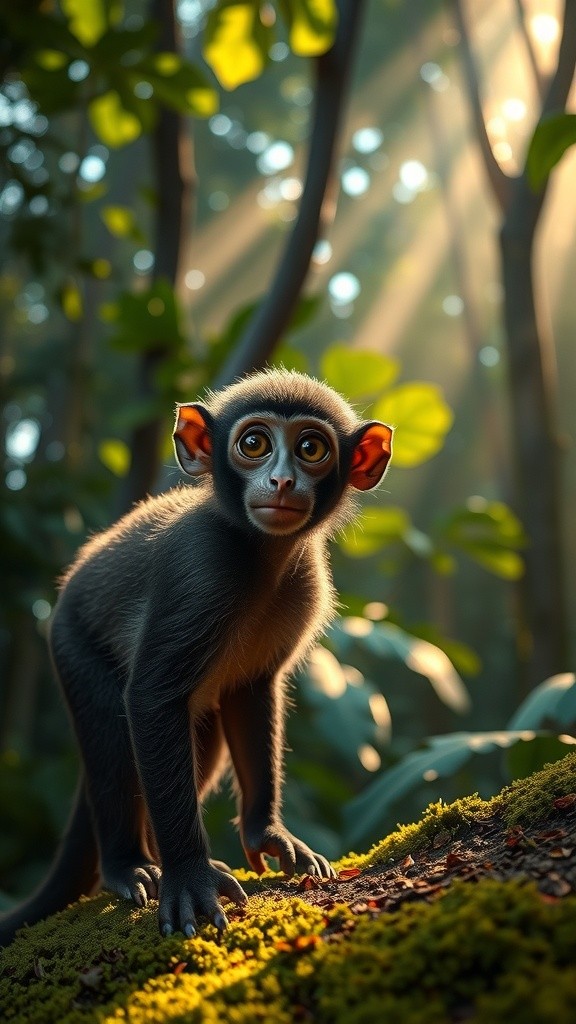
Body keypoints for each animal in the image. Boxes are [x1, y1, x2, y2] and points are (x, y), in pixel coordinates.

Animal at [0, 369, 392, 944]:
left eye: (311, 448)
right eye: (254, 444)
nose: (281, 482)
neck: (259, 557)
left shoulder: (306, 584)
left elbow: (251, 692)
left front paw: (266, 833)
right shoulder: (201, 568)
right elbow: (149, 697)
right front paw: (188, 878)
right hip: (70, 640)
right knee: (113, 730)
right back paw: (128, 866)